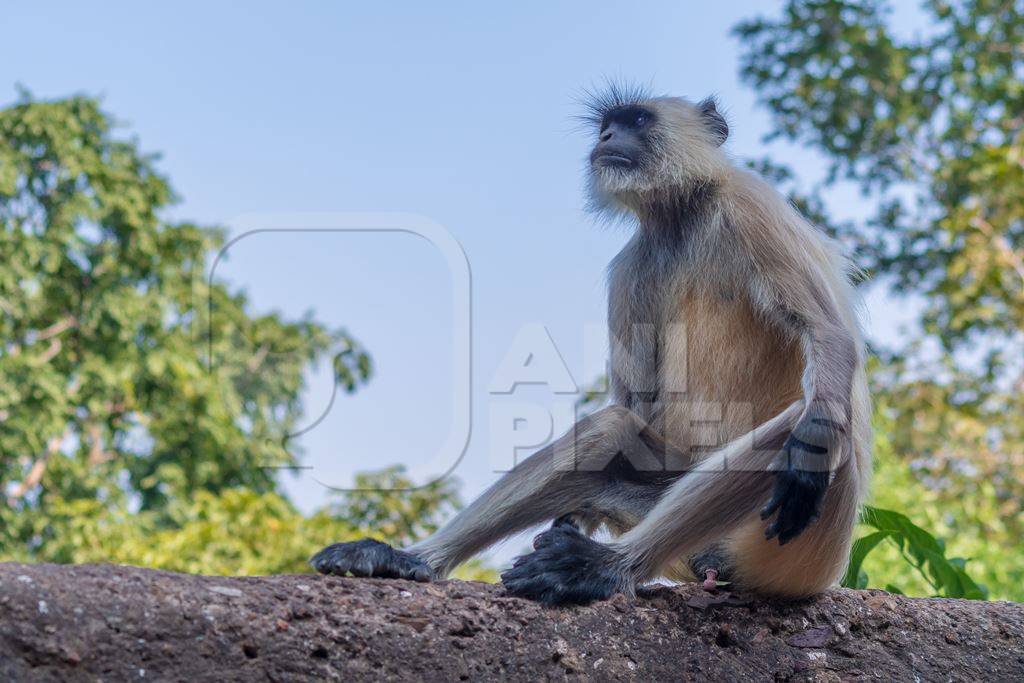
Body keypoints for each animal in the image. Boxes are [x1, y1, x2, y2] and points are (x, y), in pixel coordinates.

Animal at [311, 83, 872, 602]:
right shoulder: (631, 266)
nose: (605, 139)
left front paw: (813, 437)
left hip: (795, 549)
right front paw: (568, 521)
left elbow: (826, 334)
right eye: (607, 125)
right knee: (610, 429)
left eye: (637, 120)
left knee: (810, 425)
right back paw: (414, 560)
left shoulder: (752, 206)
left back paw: (605, 567)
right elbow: (635, 404)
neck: (683, 215)